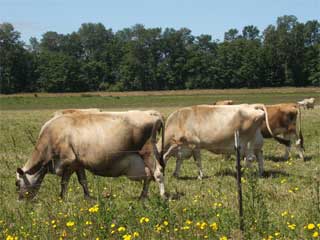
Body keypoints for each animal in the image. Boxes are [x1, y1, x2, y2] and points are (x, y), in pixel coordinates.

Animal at [15, 110, 166, 201]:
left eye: (17, 183)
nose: (20, 200)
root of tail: (151, 113)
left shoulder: (68, 161)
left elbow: (64, 182)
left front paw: (62, 198)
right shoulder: (78, 163)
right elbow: (83, 181)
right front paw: (88, 198)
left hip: (148, 152)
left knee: (158, 173)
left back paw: (163, 196)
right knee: (148, 176)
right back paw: (142, 197)